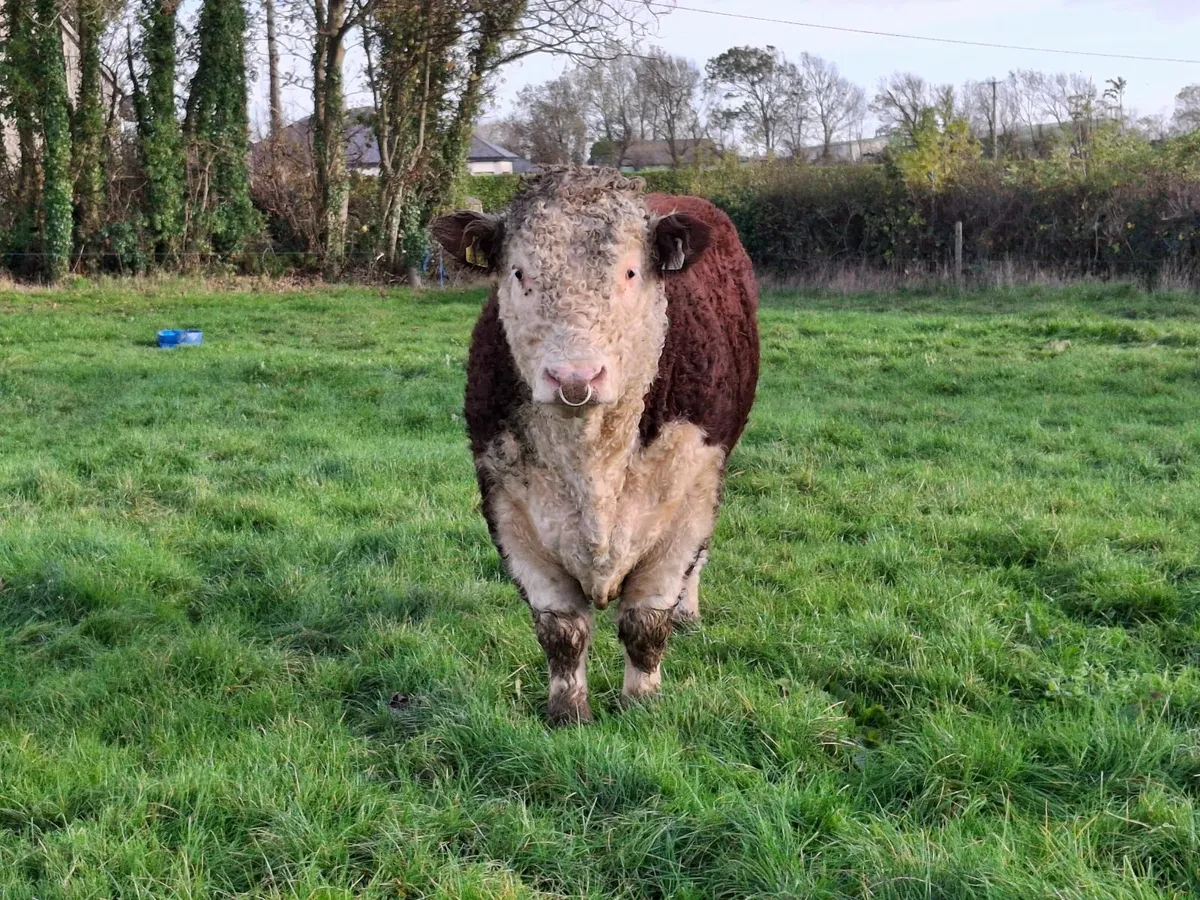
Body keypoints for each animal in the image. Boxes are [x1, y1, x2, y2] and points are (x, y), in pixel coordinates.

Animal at [432, 167, 759, 725]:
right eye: (518, 272)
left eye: (630, 272)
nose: (574, 376)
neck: (592, 461)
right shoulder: (509, 508)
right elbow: (561, 630)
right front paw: (568, 712)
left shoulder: (690, 497)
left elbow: (646, 622)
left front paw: (642, 704)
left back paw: (688, 613)